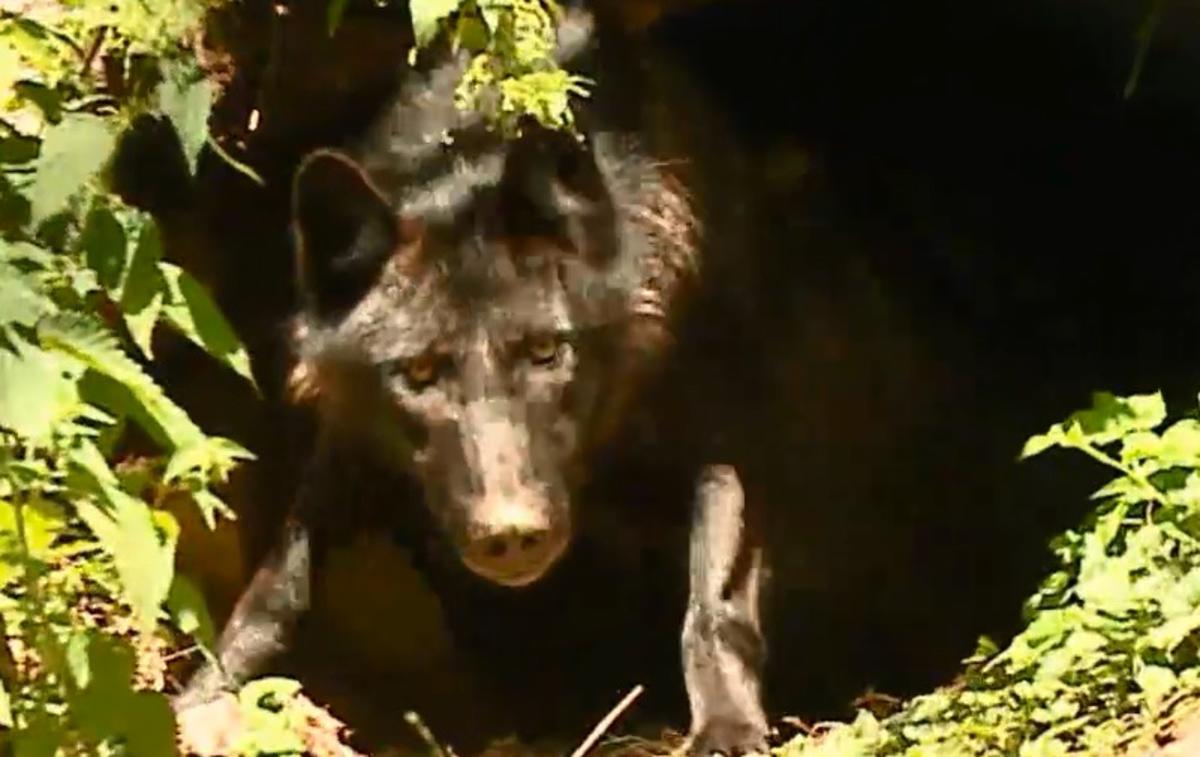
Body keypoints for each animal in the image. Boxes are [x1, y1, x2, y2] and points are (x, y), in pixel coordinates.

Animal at [177, 5, 772, 753]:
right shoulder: (351, 446)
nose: (510, 531)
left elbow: (715, 593)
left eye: (546, 349)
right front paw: (204, 693)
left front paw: (727, 725)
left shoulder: (724, 438)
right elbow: (278, 587)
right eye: (420, 371)